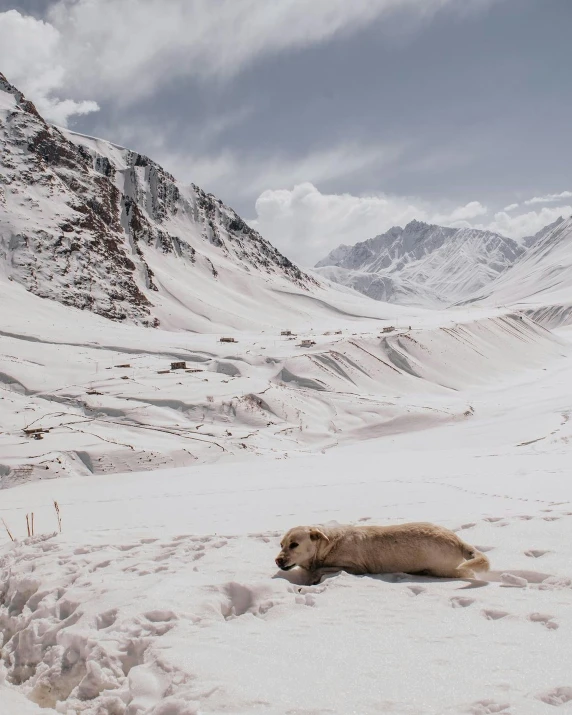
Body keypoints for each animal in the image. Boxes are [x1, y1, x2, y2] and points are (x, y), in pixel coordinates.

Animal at [274, 524, 490, 584]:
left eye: (294, 544)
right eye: (281, 544)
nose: (278, 561)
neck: (328, 545)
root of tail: (458, 541)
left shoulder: (355, 567)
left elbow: (321, 569)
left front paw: (313, 577)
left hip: (443, 569)